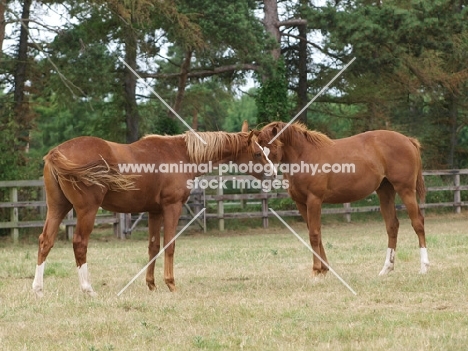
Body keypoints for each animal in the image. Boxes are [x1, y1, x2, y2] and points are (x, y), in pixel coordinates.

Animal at [32, 122, 264, 298]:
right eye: (257, 153)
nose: (270, 171)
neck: (181, 154)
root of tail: (56, 152)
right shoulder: (172, 207)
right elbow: (169, 245)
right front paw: (170, 283)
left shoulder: (155, 211)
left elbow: (153, 247)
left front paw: (151, 284)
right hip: (87, 210)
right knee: (80, 243)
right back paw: (88, 289)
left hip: (57, 207)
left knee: (46, 241)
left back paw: (38, 289)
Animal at [254, 122, 430, 280]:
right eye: (257, 151)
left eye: (272, 147)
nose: (267, 175)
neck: (304, 155)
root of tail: (408, 140)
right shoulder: (301, 203)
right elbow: (315, 233)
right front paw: (323, 269)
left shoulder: (314, 200)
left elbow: (314, 234)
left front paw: (316, 271)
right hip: (385, 192)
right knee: (392, 226)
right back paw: (386, 269)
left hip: (406, 190)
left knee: (418, 223)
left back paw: (424, 267)